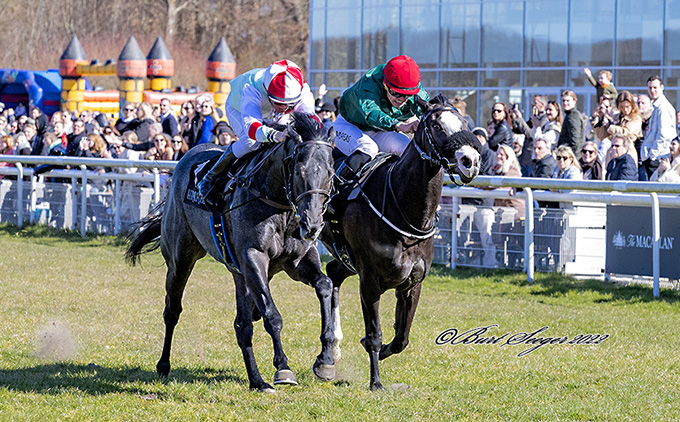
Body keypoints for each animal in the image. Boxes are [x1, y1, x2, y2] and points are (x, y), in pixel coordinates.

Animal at [125, 113, 338, 394]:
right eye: (298, 171)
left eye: (330, 172)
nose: (312, 225)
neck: (278, 204)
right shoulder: (253, 257)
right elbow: (272, 315)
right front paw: (283, 367)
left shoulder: (297, 261)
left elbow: (324, 285)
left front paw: (326, 360)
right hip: (181, 259)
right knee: (172, 310)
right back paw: (163, 364)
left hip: (239, 274)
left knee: (243, 325)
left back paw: (257, 381)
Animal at [322, 95, 480, 390]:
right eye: (436, 125)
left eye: (465, 123)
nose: (470, 160)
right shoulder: (370, 281)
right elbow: (375, 334)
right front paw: (375, 382)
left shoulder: (412, 282)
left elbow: (401, 338)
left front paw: (379, 349)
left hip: (346, 259)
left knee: (332, 274)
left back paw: (331, 351)